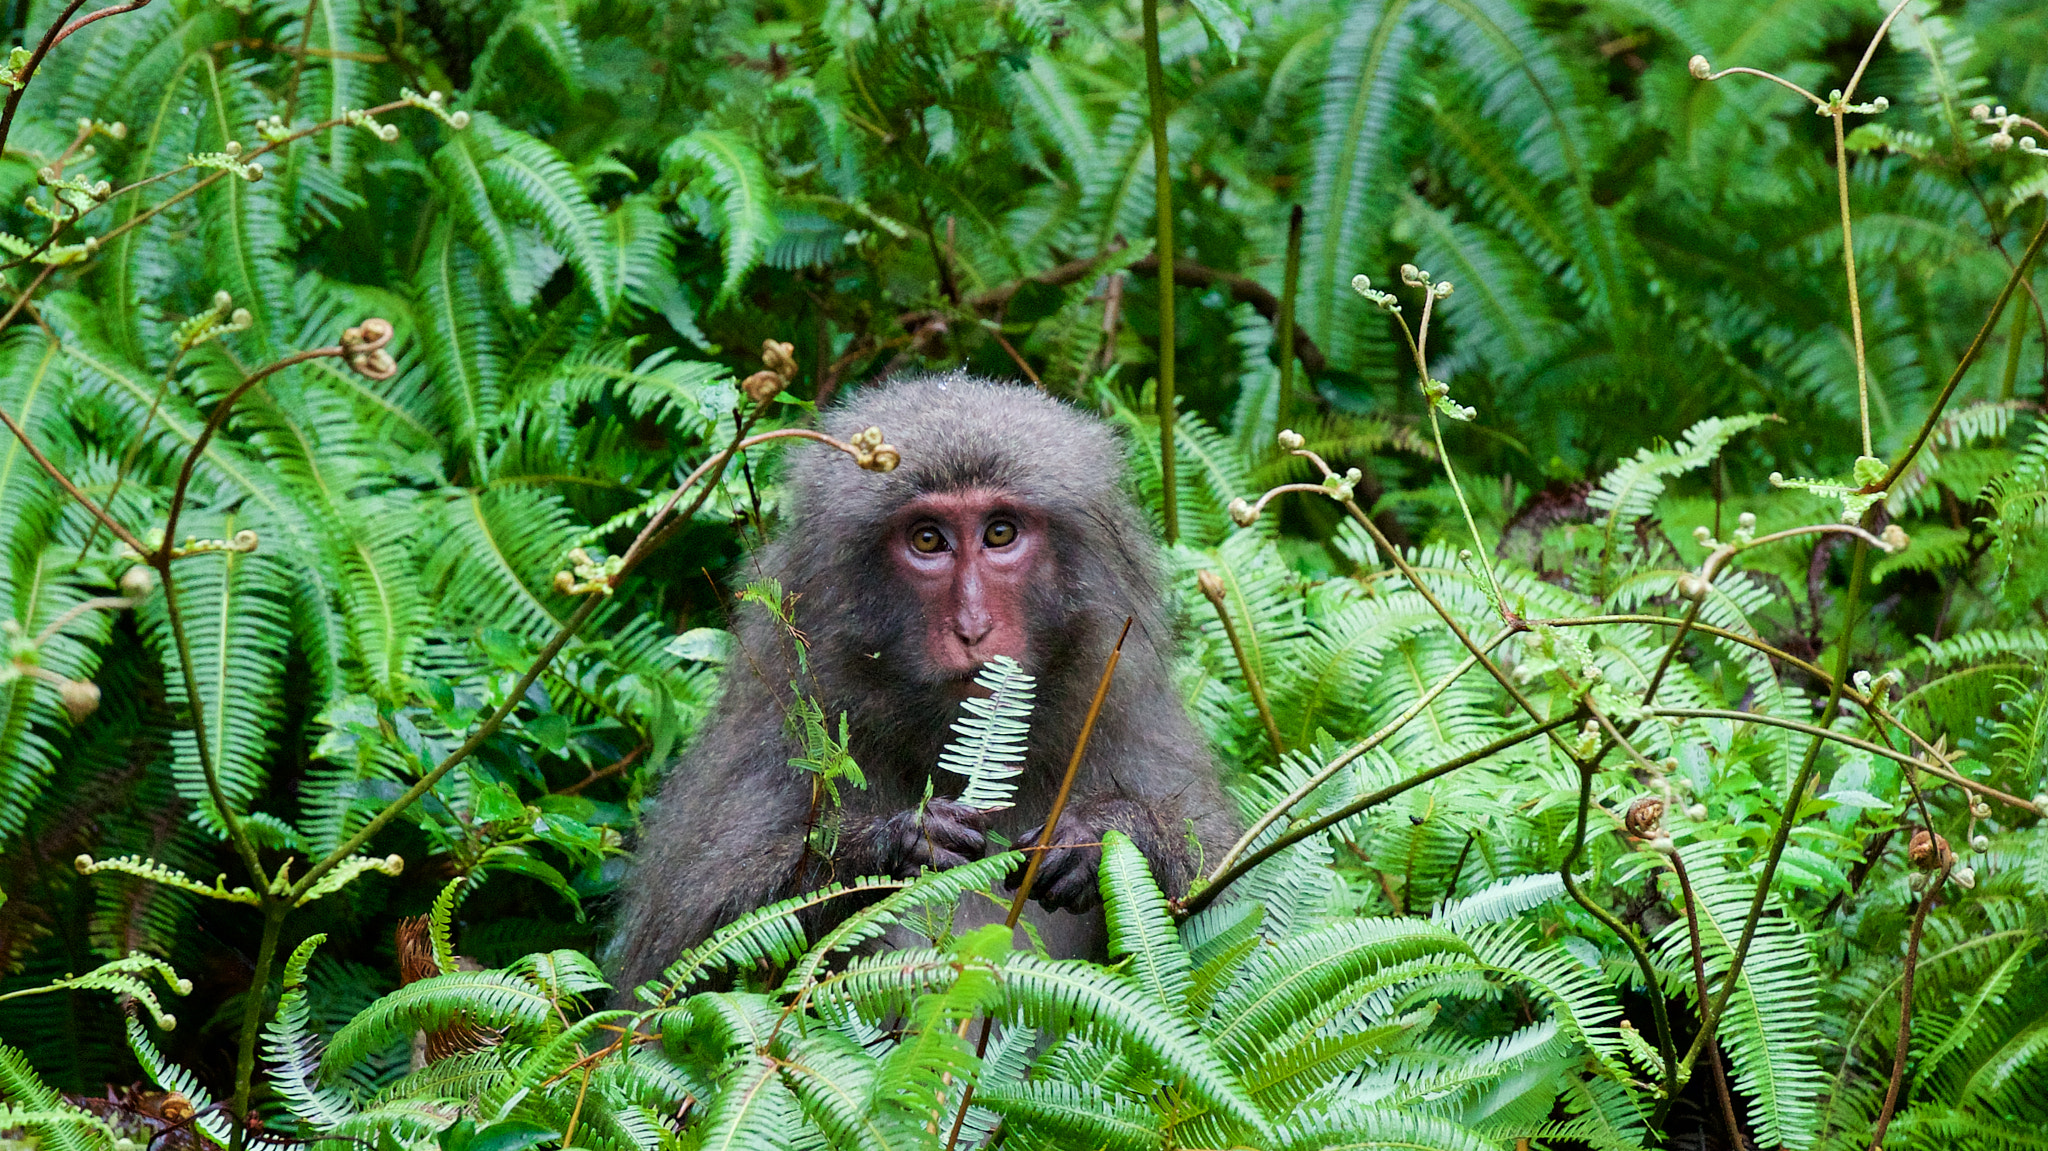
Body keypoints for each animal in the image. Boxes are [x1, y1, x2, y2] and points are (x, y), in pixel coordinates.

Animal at [609, 372, 1237, 992]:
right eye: (928, 540)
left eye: (1000, 533)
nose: (973, 626)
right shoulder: (773, 728)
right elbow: (672, 964)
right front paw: (898, 844)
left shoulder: (1127, 717)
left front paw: (1102, 833)